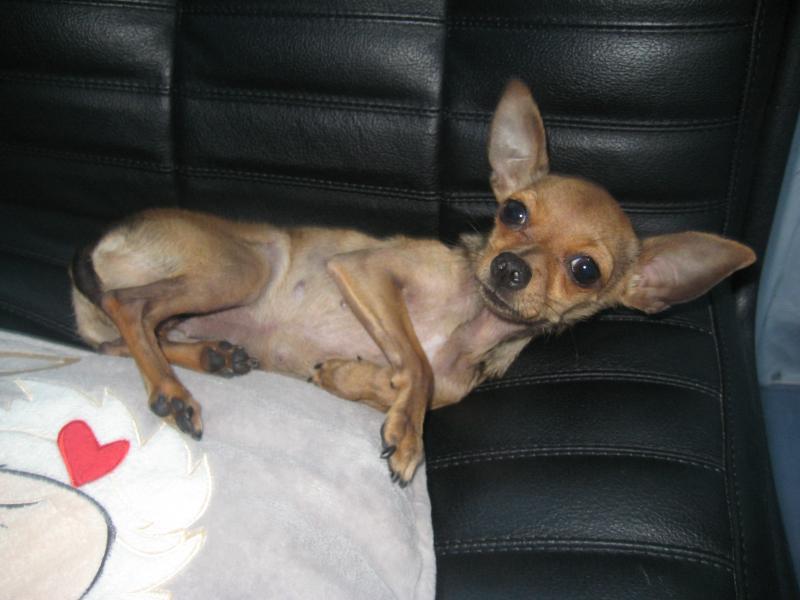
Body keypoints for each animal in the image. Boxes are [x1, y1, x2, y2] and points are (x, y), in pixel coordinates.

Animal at [70, 80, 755, 484]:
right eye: (515, 213)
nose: (509, 268)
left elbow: (428, 384)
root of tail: (98, 243)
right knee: (131, 307)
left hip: (185, 307)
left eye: (586, 270)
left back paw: (212, 355)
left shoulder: (454, 379)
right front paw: (404, 431)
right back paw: (171, 390)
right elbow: (420, 371)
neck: (470, 318)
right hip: (244, 266)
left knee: (135, 334)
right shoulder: (366, 271)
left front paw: (357, 379)